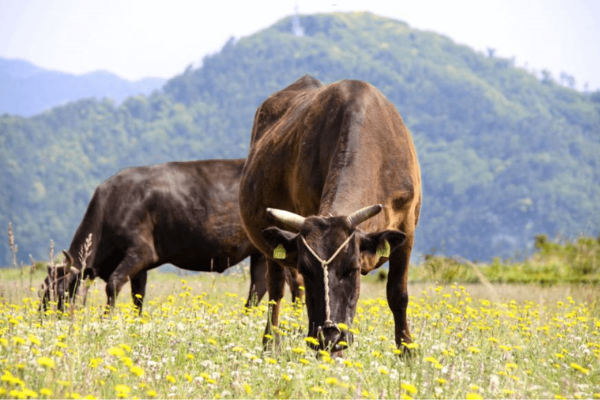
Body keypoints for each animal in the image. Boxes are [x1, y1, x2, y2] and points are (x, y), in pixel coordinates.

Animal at [42, 159, 302, 312]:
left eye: (61, 292)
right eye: (43, 290)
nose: (45, 319)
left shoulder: (140, 252)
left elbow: (113, 285)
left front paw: (108, 320)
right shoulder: (141, 267)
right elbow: (138, 297)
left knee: (293, 282)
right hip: (259, 252)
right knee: (259, 288)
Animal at [239, 75, 422, 354]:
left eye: (352, 268)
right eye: (306, 268)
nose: (329, 336)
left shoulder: (407, 225)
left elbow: (397, 293)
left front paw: (407, 351)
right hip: (269, 247)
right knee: (275, 291)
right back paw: (271, 343)